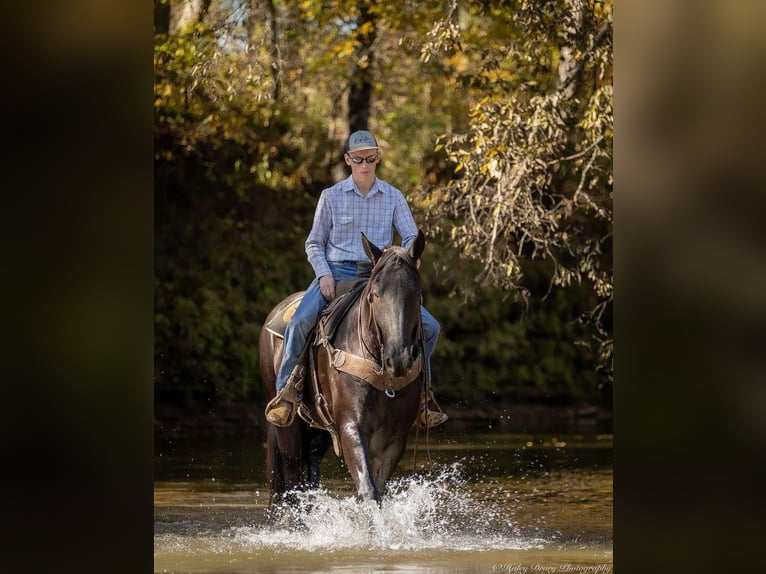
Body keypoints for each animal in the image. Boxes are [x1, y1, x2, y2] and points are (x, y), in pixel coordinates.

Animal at [256, 230, 426, 508]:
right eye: (374, 294)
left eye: (416, 293)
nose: (398, 358)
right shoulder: (350, 426)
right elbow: (369, 490)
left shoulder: (394, 439)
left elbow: (379, 489)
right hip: (286, 423)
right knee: (292, 478)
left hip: (319, 425)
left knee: (311, 461)